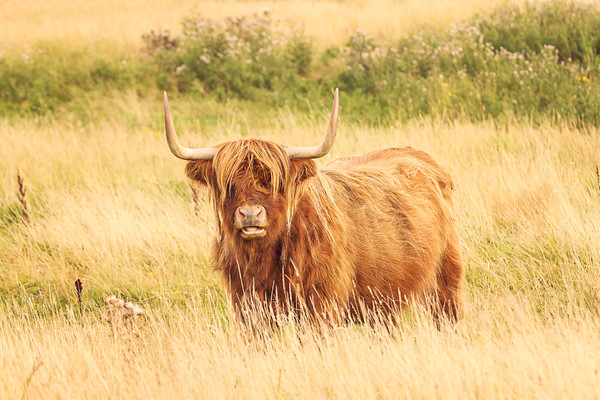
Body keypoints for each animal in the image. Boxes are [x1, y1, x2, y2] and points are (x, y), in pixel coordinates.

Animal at [166, 90, 466, 324]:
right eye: (228, 184)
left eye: (274, 181)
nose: (250, 214)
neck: (264, 259)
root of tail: (420, 156)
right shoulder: (247, 307)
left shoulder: (321, 305)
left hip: (445, 281)